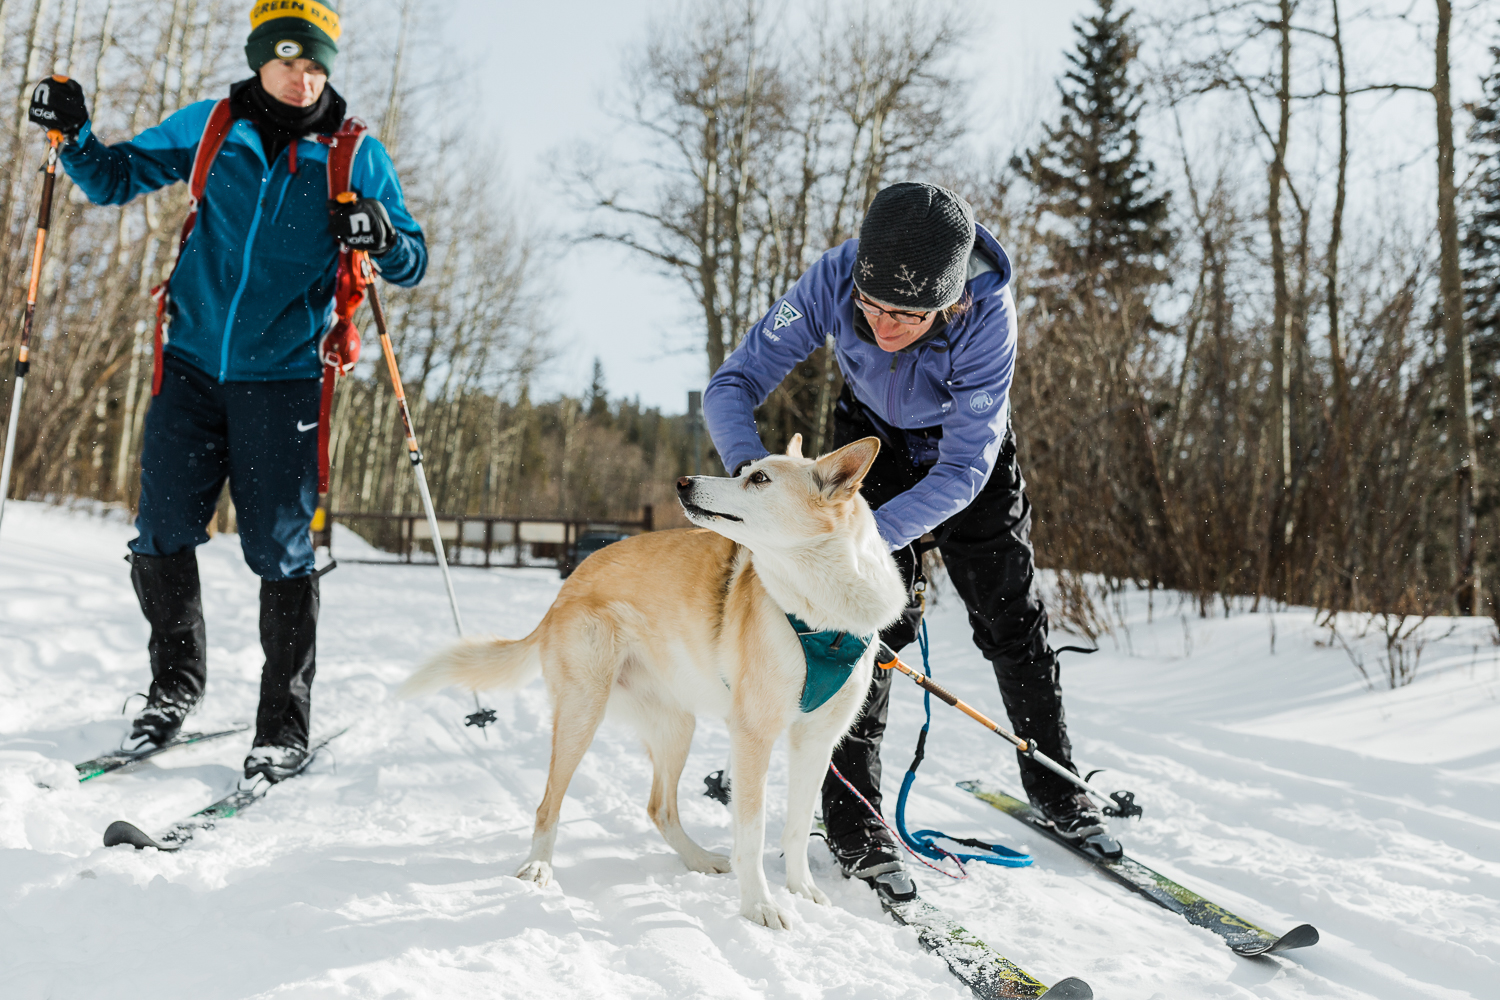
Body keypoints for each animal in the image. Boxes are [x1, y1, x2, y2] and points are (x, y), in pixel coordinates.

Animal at [399, 437, 906, 929]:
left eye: (759, 479)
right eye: (743, 470)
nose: (682, 482)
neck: (825, 616)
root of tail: (566, 587)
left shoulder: (816, 743)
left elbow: (797, 827)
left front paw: (802, 891)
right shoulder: (753, 738)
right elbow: (753, 833)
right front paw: (759, 905)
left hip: (676, 727)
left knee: (659, 807)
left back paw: (698, 858)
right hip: (583, 714)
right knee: (549, 805)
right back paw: (539, 866)